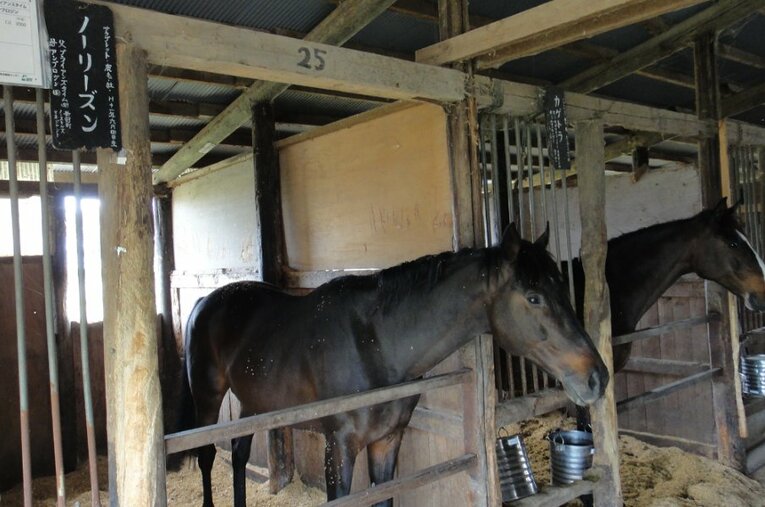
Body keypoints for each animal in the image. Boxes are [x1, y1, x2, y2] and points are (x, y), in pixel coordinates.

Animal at [176, 224, 608, 507]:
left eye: (561, 287)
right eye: (534, 297)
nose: (596, 377)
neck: (374, 344)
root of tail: (204, 302)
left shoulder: (387, 441)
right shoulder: (339, 446)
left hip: (254, 403)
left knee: (239, 450)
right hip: (208, 397)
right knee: (207, 454)